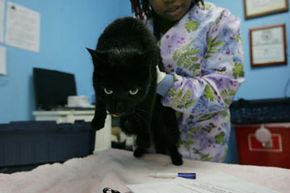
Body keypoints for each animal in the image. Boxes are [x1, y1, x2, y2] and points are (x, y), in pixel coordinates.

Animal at [86, 16, 182, 165]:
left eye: (133, 91)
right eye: (108, 90)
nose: (118, 110)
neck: (123, 43)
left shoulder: (152, 83)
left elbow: (146, 110)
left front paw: (144, 136)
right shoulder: (96, 83)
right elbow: (100, 101)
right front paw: (97, 120)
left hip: (167, 121)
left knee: (170, 139)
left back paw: (176, 159)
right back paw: (139, 151)